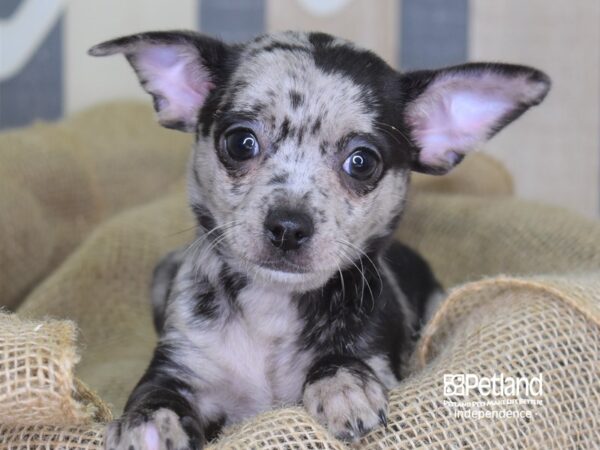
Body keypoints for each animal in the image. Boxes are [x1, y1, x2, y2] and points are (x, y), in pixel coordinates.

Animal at [89, 29, 548, 448]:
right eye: (240, 142)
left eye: (362, 162)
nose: (288, 226)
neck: (271, 309)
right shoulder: (181, 365)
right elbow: (154, 394)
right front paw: (149, 426)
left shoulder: (380, 359)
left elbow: (344, 359)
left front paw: (342, 385)